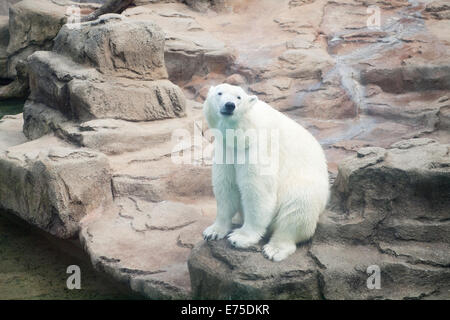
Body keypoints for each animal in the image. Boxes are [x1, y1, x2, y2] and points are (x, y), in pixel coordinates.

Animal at [202, 84, 328, 262]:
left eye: (239, 97)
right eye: (219, 93)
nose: (229, 105)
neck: (243, 131)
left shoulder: (258, 147)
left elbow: (257, 190)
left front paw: (240, 237)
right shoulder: (226, 148)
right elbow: (226, 186)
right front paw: (213, 231)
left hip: (306, 186)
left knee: (298, 206)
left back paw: (275, 249)